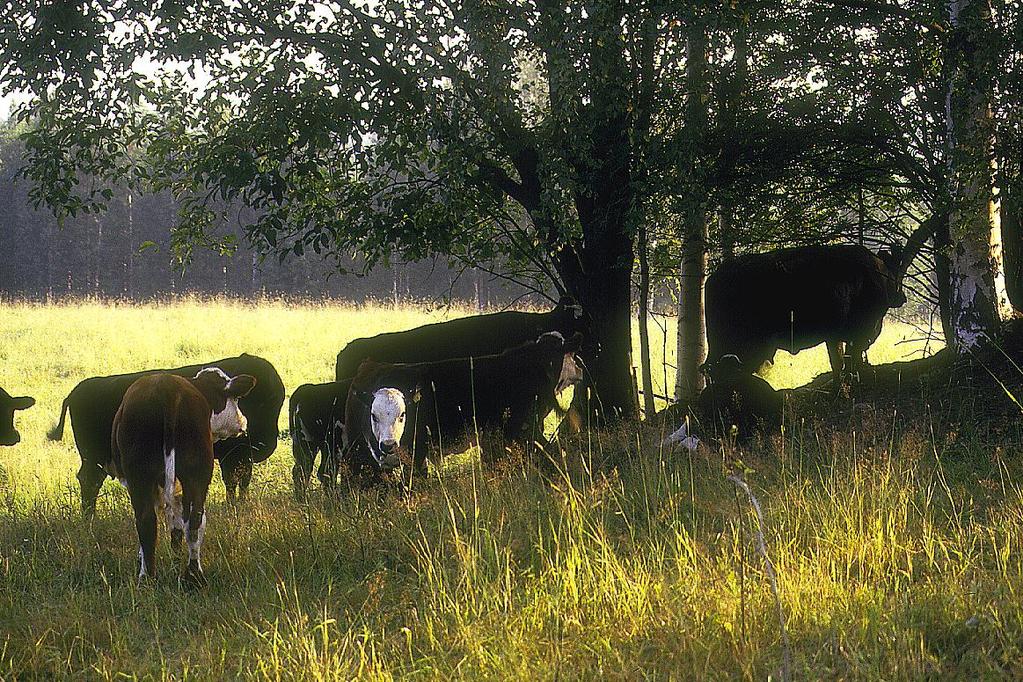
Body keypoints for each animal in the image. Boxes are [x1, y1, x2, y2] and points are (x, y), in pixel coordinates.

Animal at [49, 351, 284, 517]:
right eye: (262, 402)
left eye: (277, 402)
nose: (267, 441)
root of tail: (78, 390)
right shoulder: (233, 456)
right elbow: (234, 482)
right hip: (95, 460)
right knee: (90, 482)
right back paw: (89, 518)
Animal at [109, 368, 255, 588]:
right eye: (236, 398)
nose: (243, 421)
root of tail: (168, 390)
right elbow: (177, 523)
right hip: (194, 471)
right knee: (191, 520)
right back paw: (190, 576)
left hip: (144, 476)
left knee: (148, 521)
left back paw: (152, 576)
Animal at [703, 244, 904, 384]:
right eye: (897, 271)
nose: (901, 297)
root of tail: (715, 277)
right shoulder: (857, 333)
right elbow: (846, 360)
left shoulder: (836, 337)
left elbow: (840, 362)